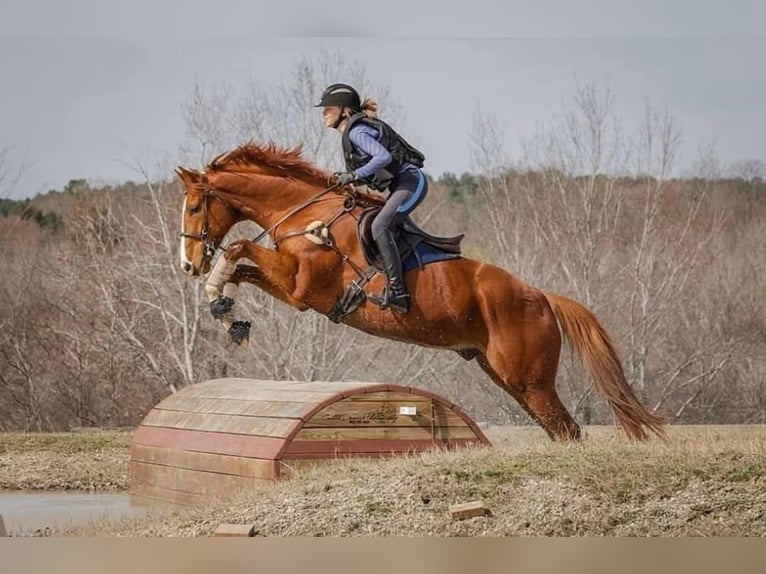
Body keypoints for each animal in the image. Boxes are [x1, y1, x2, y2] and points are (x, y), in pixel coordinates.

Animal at [177, 142, 668, 444]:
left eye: (196, 206)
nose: (187, 263)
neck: (304, 214)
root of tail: (544, 297)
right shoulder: (292, 287)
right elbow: (240, 263)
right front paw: (225, 310)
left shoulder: (300, 286)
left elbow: (239, 247)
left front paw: (219, 297)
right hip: (505, 376)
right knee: (559, 430)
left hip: (527, 380)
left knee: (566, 430)